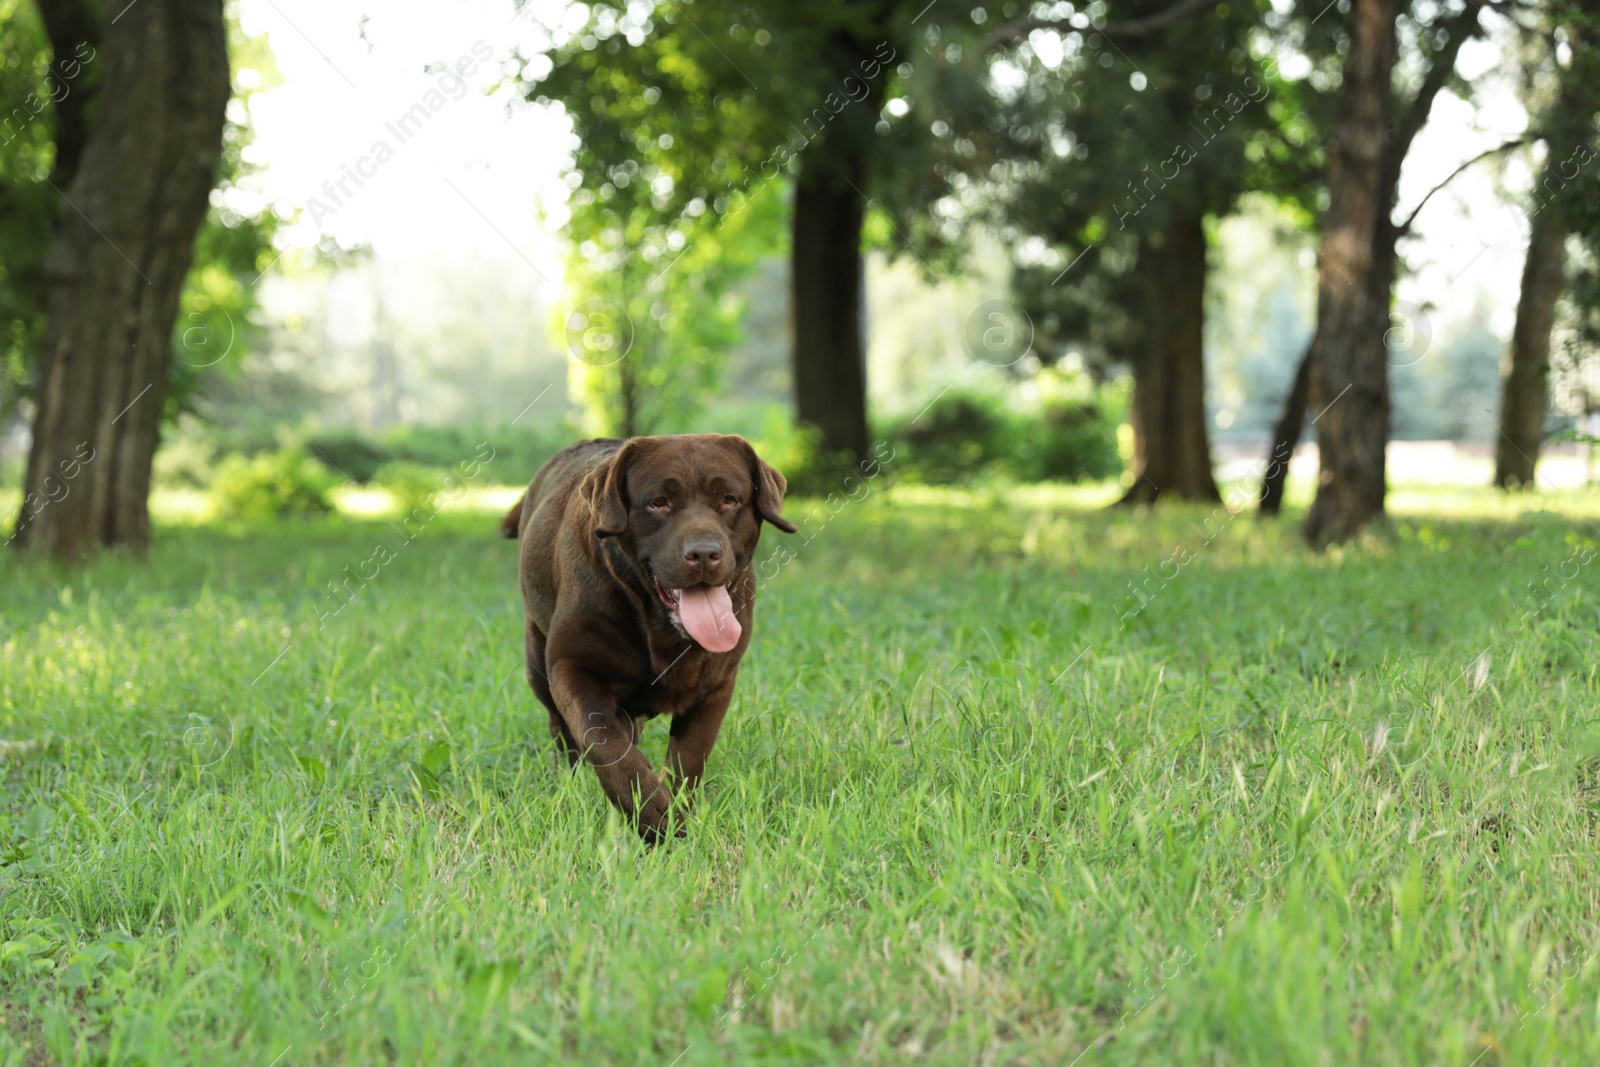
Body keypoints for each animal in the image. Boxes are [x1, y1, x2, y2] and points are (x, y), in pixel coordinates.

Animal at [499, 435, 793, 844]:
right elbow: (602, 737)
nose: (704, 552)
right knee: (563, 729)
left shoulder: (717, 684)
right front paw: (650, 811)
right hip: (536, 658)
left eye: (729, 499)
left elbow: (690, 756)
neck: (657, 625)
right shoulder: (570, 666)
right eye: (658, 502)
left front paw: (676, 814)